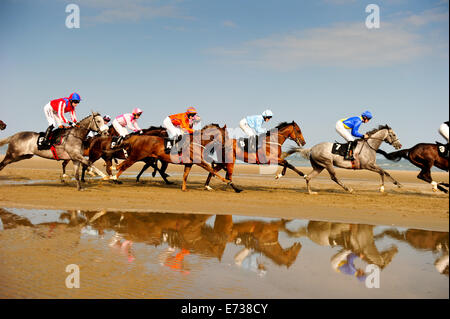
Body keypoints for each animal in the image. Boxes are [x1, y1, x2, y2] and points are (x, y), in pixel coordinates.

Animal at [111, 124, 243, 191]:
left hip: (141, 157)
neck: (197, 141)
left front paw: (184, 188)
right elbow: (212, 170)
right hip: (136, 156)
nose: (229, 145)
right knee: (122, 166)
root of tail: (136, 138)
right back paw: (113, 177)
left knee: (120, 166)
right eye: (226, 134)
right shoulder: (199, 161)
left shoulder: (189, 163)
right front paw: (227, 181)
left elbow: (185, 175)